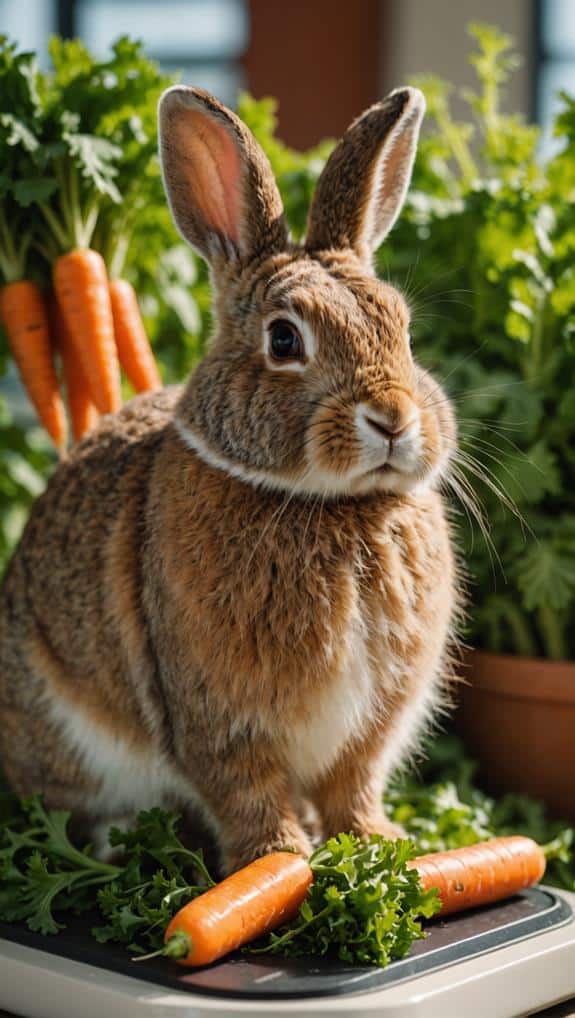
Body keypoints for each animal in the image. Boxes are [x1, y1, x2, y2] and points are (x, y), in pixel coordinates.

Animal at [0, 84, 459, 873]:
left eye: (400, 329)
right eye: (284, 339)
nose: (394, 420)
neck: (330, 504)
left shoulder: (370, 725)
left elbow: (353, 786)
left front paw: (381, 848)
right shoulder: (220, 719)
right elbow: (247, 793)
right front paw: (278, 862)